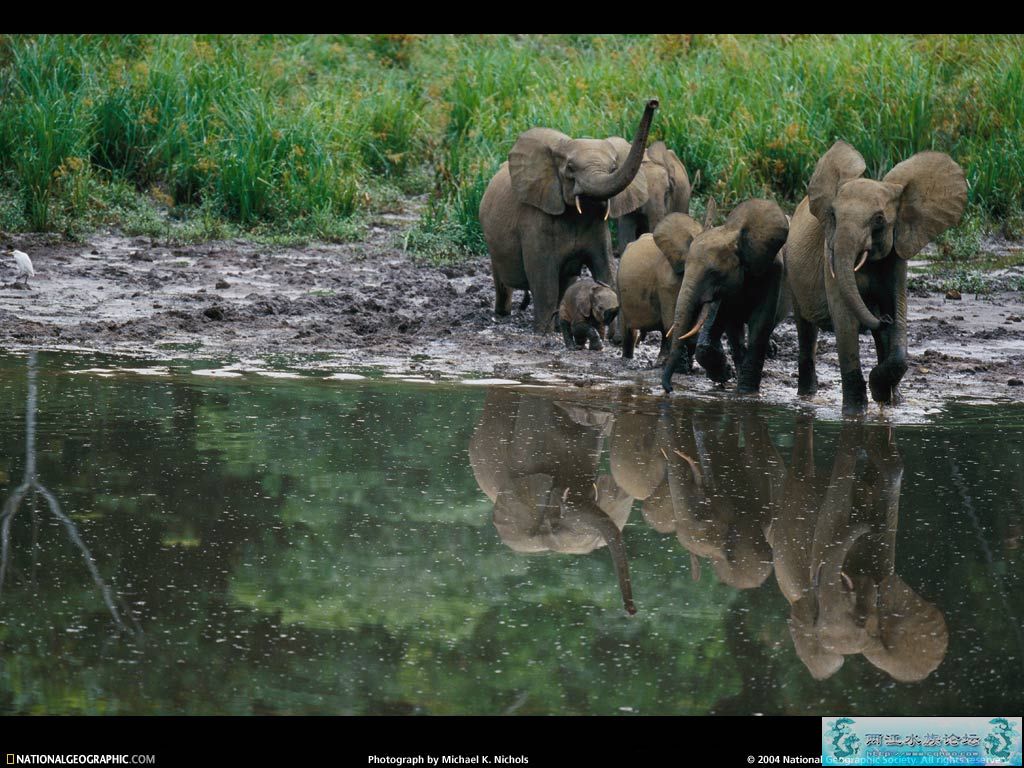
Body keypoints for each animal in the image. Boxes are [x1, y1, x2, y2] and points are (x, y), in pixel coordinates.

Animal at [477, 99, 659, 331]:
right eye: (570, 168)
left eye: (613, 167)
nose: (653, 102)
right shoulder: (535, 224)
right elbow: (544, 280)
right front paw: (542, 333)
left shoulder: (599, 230)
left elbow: (606, 270)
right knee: (503, 280)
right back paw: (503, 314)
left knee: (566, 283)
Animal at [659, 198, 786, 397]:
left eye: (714, 273)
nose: (670, 389)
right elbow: (727, 322)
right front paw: (729, 377)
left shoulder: (772, 272)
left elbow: (761, 323)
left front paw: (747, 393)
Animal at [782, 138, 966, 415]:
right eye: (833, 215)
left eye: (879, 219)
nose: (883, 318)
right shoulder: (830, 254)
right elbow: (845, 321)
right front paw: (855, 413)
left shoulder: (897, 253)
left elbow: (897, 313)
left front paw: (884, 396)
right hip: (792, 276)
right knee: (806, 332)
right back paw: (807, 397)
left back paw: (893, 400)